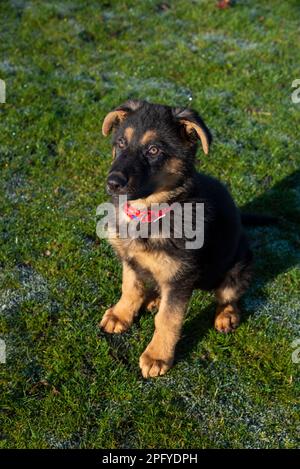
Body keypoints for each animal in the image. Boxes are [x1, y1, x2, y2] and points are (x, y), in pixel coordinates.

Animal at [99, 98, 252, 376]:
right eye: (121, 143)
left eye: (153, 150)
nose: (112, 183)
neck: (150, 213)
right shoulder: (131, 260)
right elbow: (130, 288)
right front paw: (120, 315)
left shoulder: (182, 277)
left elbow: (168, 319)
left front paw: (157, 356)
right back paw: (154, 299)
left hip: (238, 264)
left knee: (228, 294)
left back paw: (226, 315)